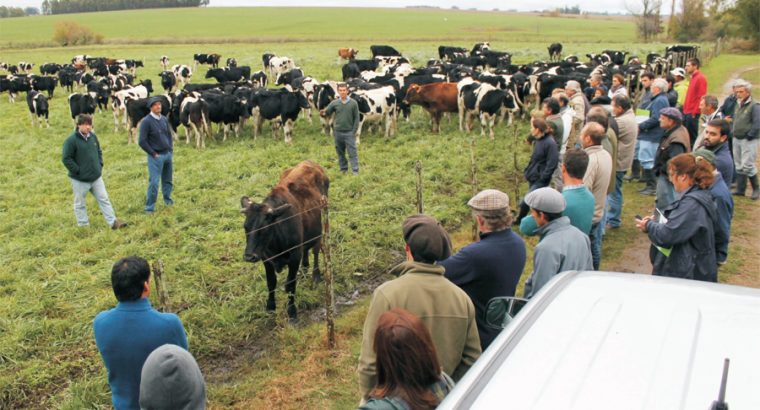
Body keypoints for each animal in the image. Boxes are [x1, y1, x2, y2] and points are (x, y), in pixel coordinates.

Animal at [240, 160, 330, 320]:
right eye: (246, 227)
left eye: (265, 228)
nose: (249, 256)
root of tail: (310, 163)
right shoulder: (266, 259)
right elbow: (271, 283)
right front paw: (270, 307)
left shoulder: (294, 257)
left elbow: (290, 284)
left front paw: (292, 310)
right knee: (306, 249)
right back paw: (305, 267)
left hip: (321, 225)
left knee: (315, 250)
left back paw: (315, 275)